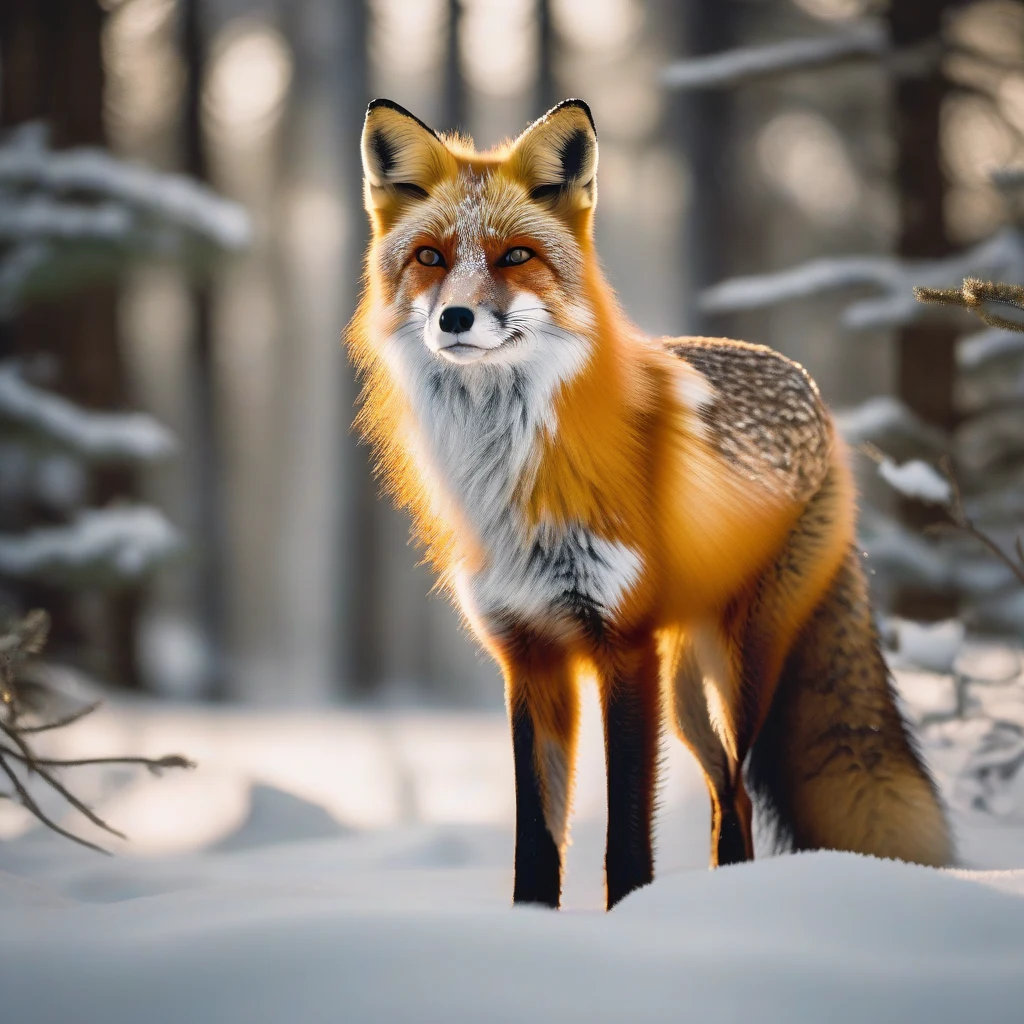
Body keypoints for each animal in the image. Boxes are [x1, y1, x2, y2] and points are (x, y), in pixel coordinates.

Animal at [347, 97, 954, 910]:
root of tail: (813, 390)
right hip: (686, 688)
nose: (455, 319)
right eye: (430, 259)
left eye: (514, 257)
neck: (512, 480)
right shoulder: (529, 657)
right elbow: (537, 842)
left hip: (738, 674)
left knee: (735, 795)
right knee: (728, 795)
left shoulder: (623, 647)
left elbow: (626, 836)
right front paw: (528, 928)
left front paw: (630, 921)